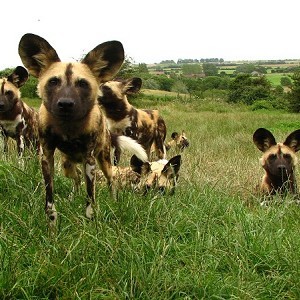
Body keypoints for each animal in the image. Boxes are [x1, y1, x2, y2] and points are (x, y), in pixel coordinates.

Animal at [17, 33, 146, 225]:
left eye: (83, 84)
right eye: (53, 82)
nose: (65, 104)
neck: (68, 126)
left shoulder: (89, 159)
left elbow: (90, 200)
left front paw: (91, 223)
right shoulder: (46, 156)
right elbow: (50, 200)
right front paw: (52, 225)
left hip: (104, 162)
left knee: (111, 181)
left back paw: (114, 202)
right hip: (66, 164)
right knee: (76, 178)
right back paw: (72, 198)